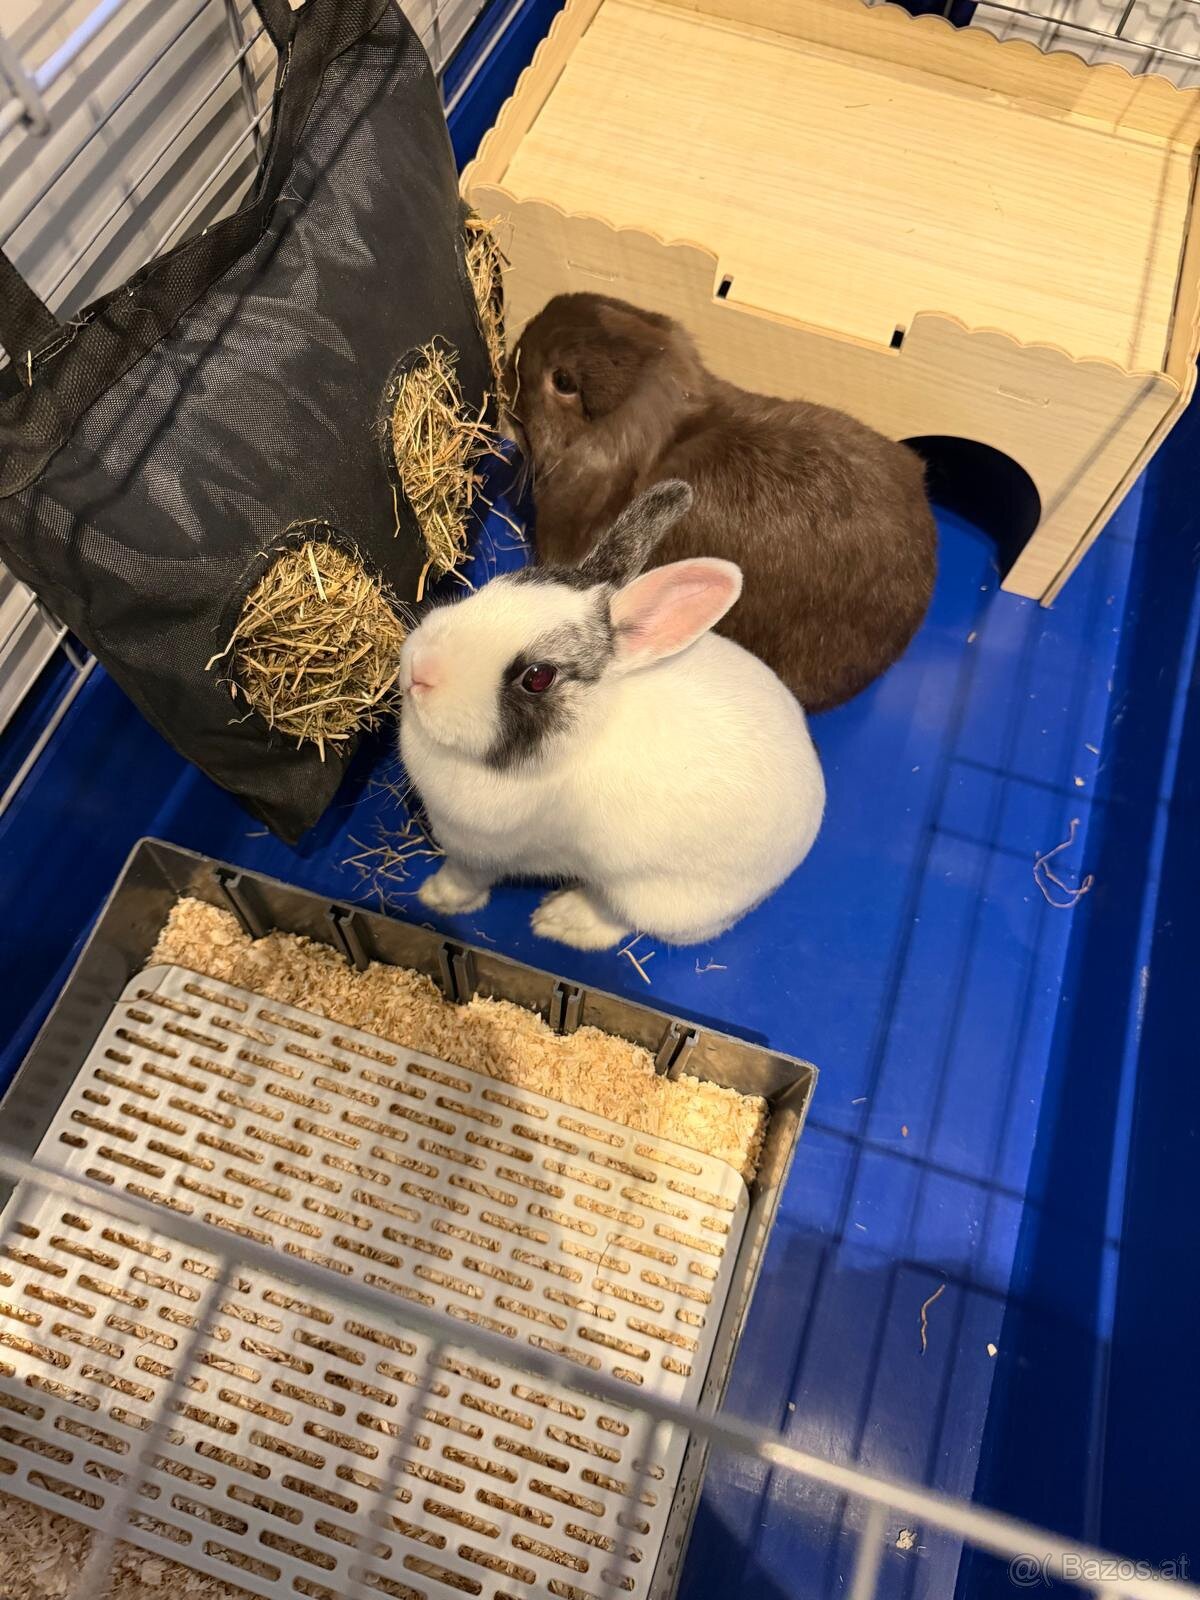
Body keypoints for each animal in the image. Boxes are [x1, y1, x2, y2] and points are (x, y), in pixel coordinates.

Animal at [399, 481, 825, 949]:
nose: (421, 669)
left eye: (538, 677)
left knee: (619, 920)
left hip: (642, 896)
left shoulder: (478, 854)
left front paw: (435, 898)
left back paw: (560, 919)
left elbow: (464, 879)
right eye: (497, 586)